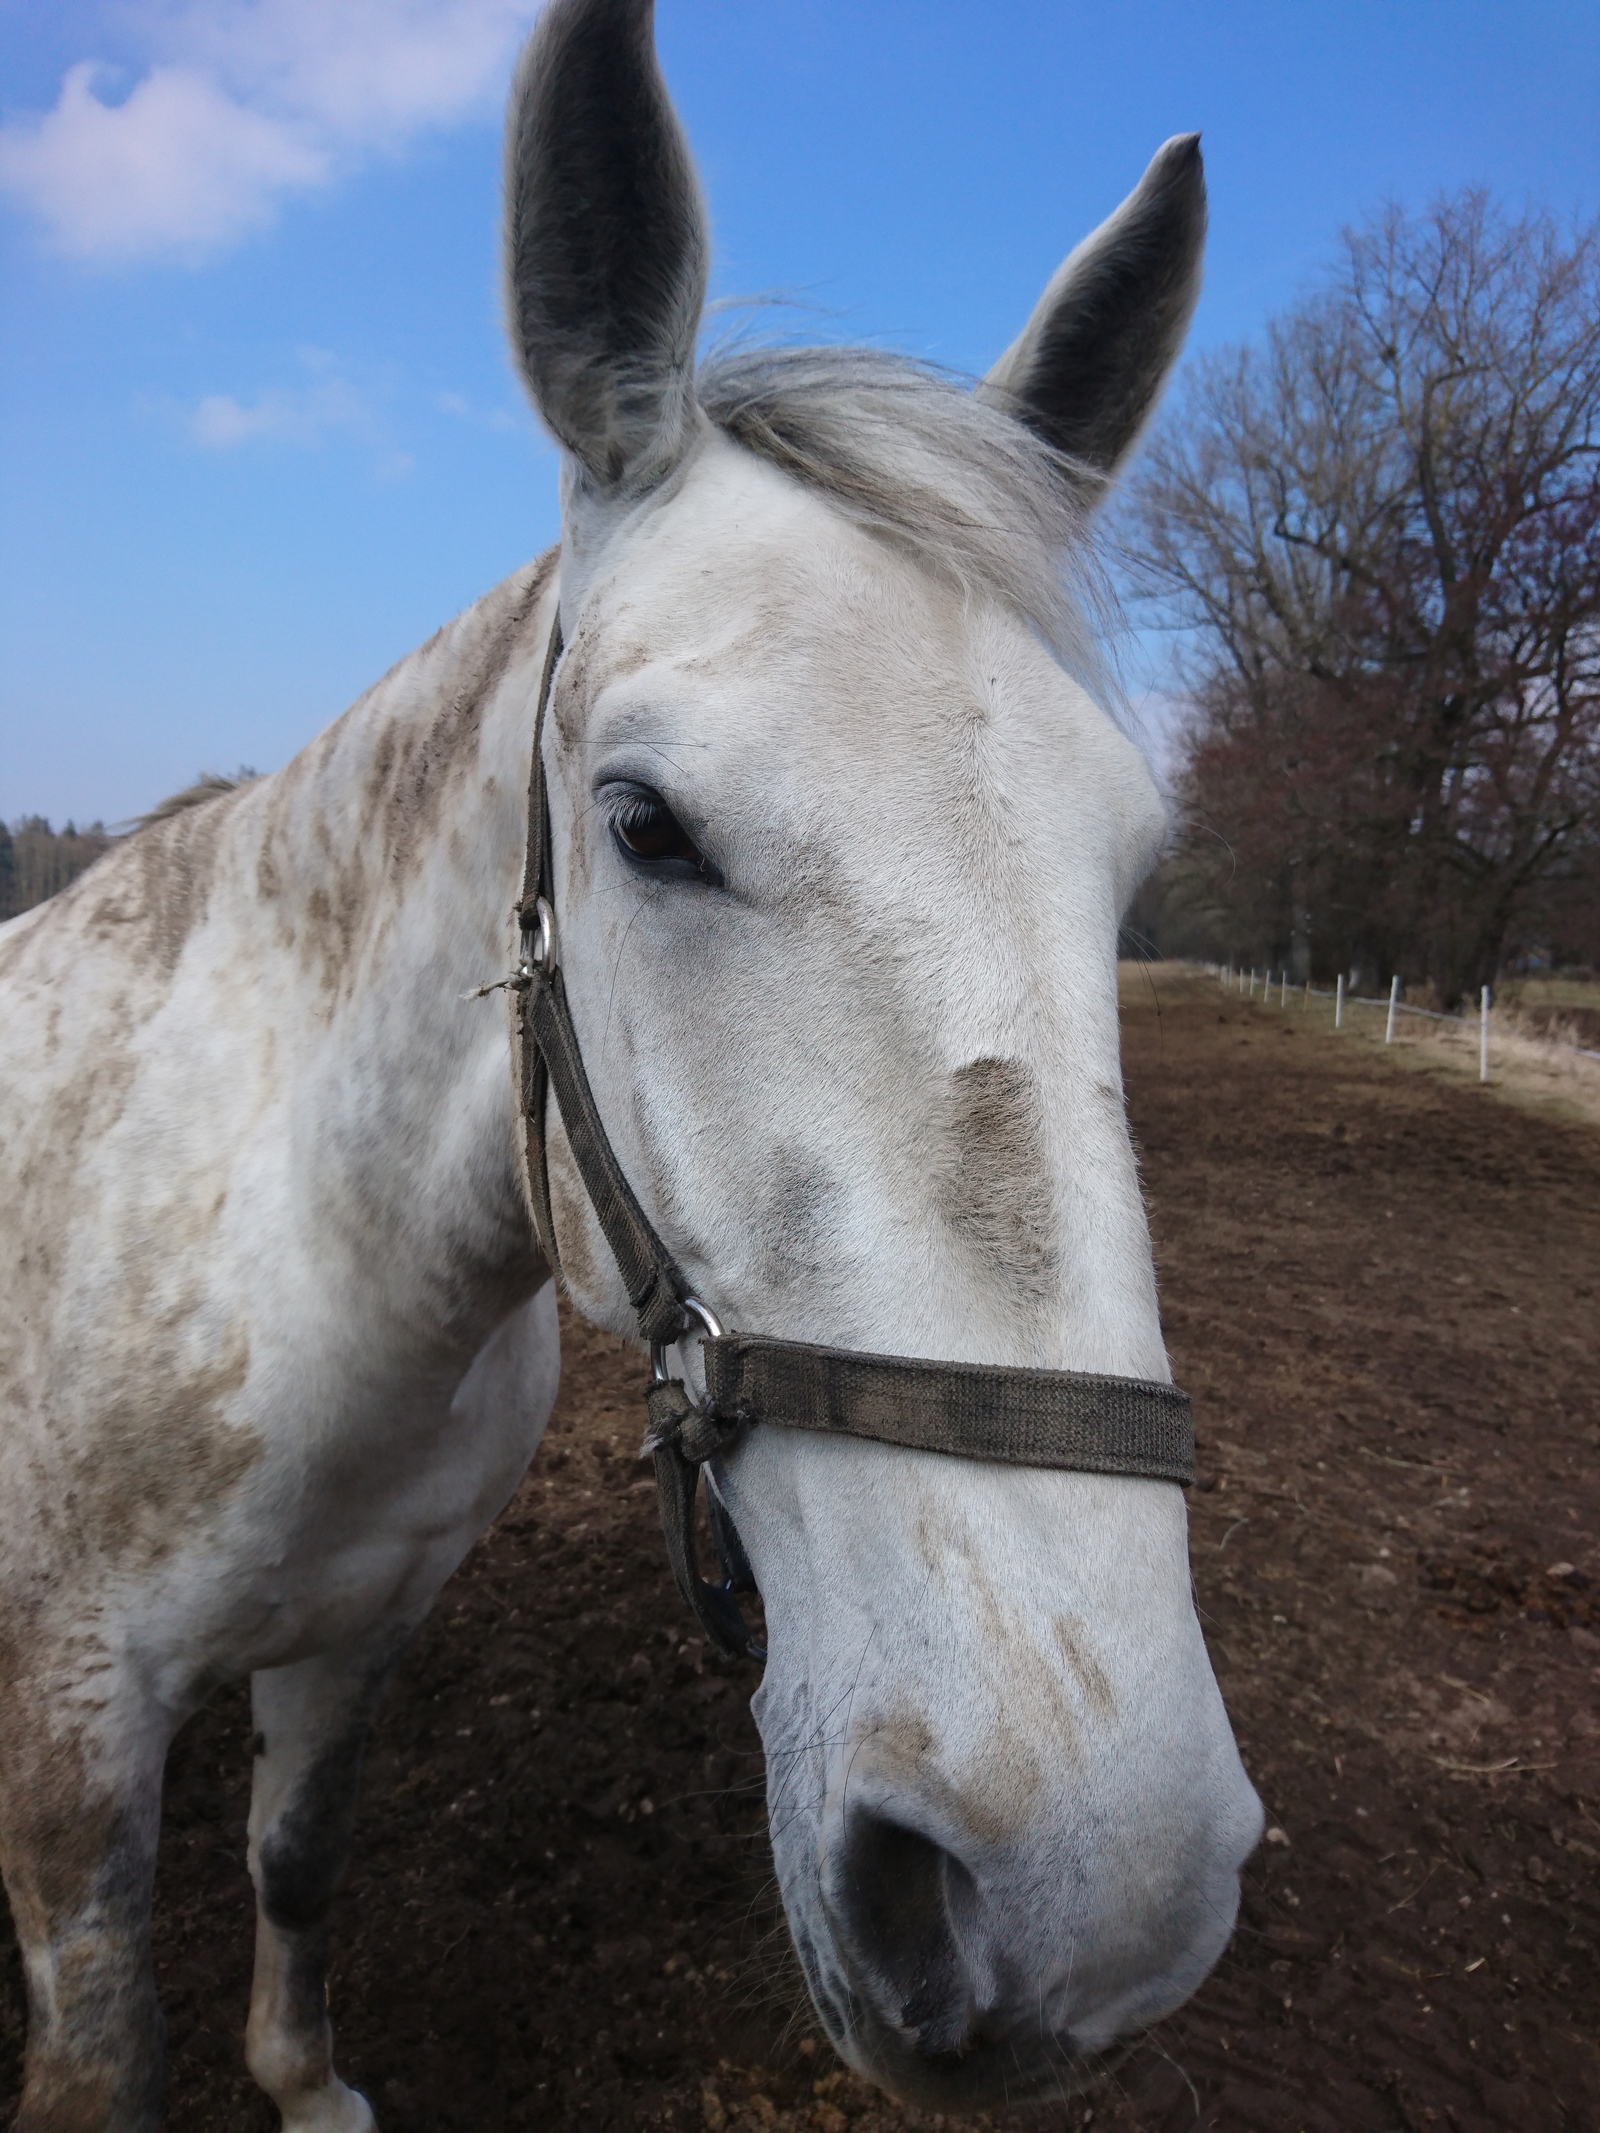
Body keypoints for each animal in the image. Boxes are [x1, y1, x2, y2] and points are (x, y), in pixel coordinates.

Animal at [0, 8, 1262, 2124]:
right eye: (646, 822)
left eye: (1132, 862)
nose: (1102, 1891)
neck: (290, 1251)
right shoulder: (70, 1731)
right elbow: (104, 2049)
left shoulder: (356, 1641)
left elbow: (296, 1860)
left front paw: (309, 2082)